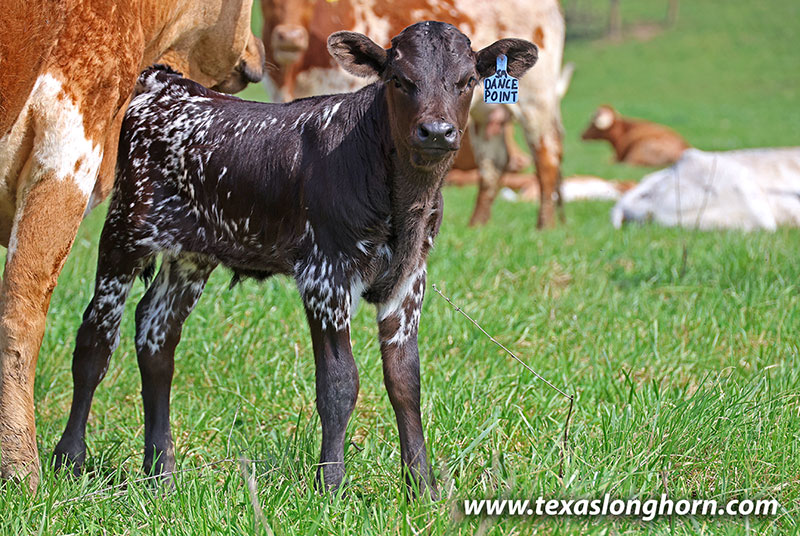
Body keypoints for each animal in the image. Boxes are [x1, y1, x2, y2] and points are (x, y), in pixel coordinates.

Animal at [51, 22, 538, 498]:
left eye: (468, 80)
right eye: (400, 79)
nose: (436, 131)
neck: (402, 200)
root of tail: (167, 83)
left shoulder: (409, 278)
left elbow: (405, 381)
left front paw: (424, 488)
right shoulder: (326, 274)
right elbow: (339, 383)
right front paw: (331, 486)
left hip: (192, 254)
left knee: (156, 337)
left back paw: (160, 476)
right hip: (125, 232)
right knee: (95, 339)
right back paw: (69, 460)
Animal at [261, 0, 572, 228]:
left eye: (468, 79)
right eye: (271, 1)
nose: (289, 36)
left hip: (536, 98)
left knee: (547, 155)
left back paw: (545, 225)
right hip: (487, 114)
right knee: (494, 164)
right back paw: (477, 225)